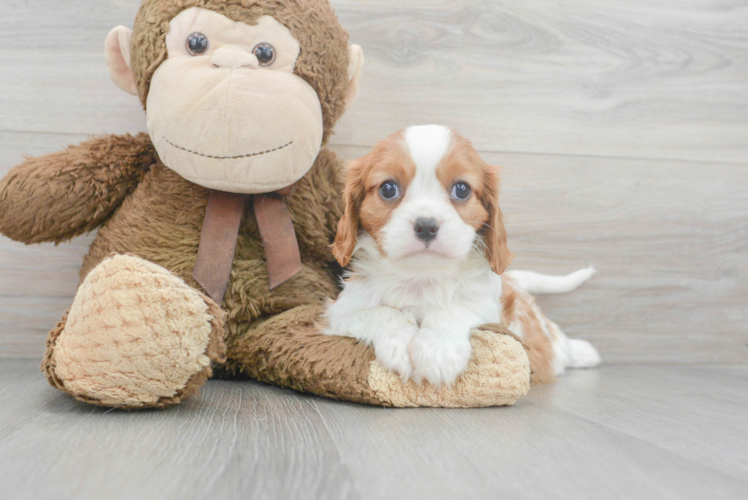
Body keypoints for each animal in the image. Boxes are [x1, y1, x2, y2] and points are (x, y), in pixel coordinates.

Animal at [324, 126, 600, 386]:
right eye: (388, 188)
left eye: (462, 189)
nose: (426, 226)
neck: (422, 278)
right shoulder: (340, 312)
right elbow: (382, 313)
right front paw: (399, 343)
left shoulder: (488, 308)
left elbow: (454, 308)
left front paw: (437, 351)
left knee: (557, 343)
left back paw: (584, 353)